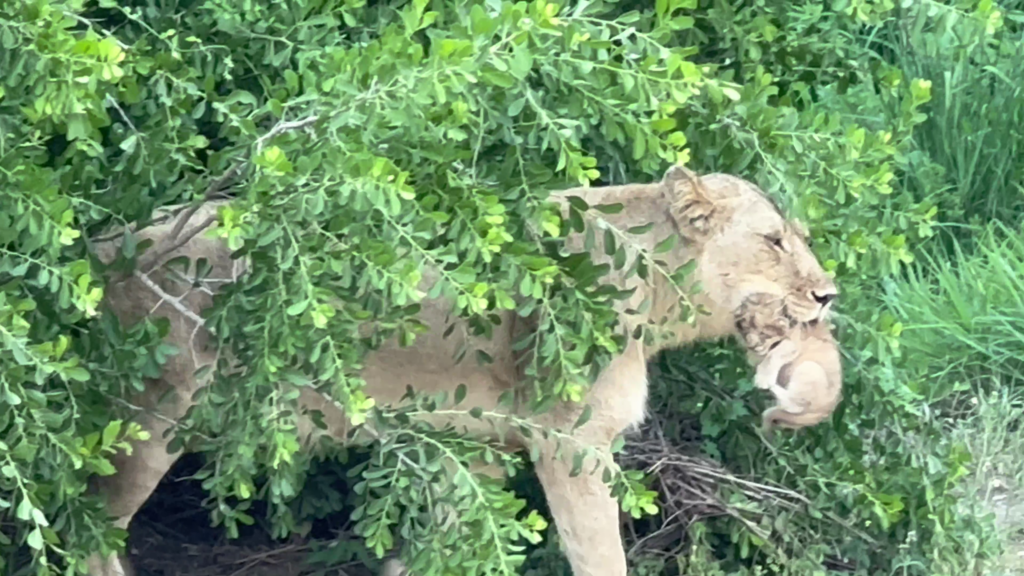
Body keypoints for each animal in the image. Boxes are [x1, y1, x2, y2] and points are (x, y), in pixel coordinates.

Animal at [85, 165, 838, 576]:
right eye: (774, 241)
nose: (828, 295)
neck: (651, 287)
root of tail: (102, 245)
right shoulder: (570, 442)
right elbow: (599, 554)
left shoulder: (473, 443)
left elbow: (439, 550)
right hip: (148, 420)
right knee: (84, 528)